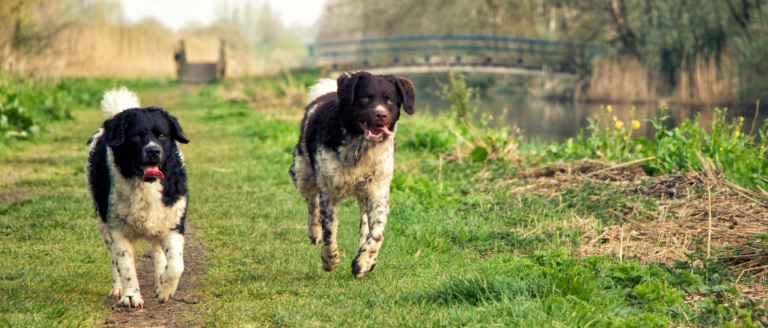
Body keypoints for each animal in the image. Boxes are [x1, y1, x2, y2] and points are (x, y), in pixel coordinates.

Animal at [85, 87, 189, 308]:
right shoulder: (117, 229)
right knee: (113, 260)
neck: (146, 185)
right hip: (103, 225)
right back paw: (117, 288)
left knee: (159, 253)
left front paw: (165, 288)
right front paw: (131, 295)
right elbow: (125, 265)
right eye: (135, 136)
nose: (153, 151)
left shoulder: (173, 222)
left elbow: (176, 265)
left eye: (162, 135)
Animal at [290, 71, 414, 276]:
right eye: (365, 98)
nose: (381, 115)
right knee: (312, 200)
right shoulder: (330, 191)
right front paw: (330, 260)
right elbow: (329, 231)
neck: (360, 150)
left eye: (390, 100)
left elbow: (377, 232)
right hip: (303, 174)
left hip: (364, 192)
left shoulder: (378, 190)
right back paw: (314, 232)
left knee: (364, 221)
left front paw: (364, 261)